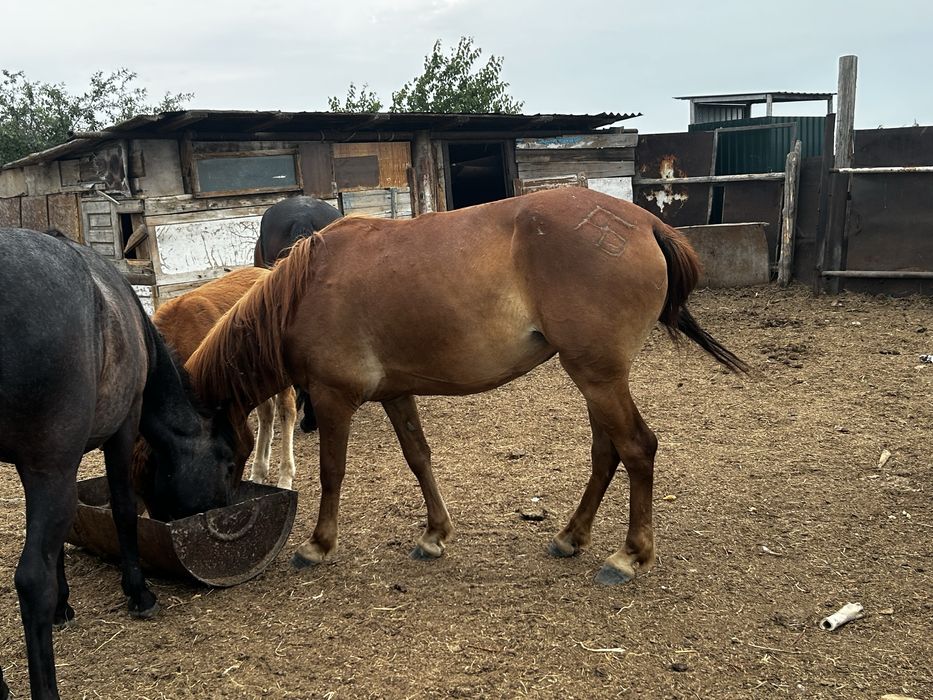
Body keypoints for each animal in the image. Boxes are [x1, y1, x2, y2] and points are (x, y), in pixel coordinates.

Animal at [0, 228, 237, 700]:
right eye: (225, 460)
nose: (223, 507)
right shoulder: (118, 432)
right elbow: (124, 510)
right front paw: (139, 593)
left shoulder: (55, 465)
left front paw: (64, 605)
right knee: (32, 580)